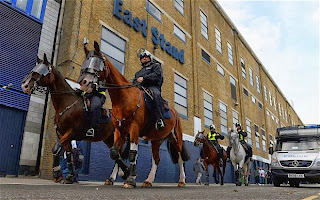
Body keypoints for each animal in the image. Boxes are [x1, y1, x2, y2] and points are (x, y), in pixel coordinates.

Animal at [20, 53, 129, 184]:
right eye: (33, 70)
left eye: (39, 73)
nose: (24, 86)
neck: (66, 103)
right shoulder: (62, 134)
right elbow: (69, 155)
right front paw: (69, 177)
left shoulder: (71, 132)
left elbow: (56, 149)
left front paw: (57, 174)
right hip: (108, 139)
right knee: (116, 154)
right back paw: (113, 178)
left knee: (118, 154)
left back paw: (125, 173)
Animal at [80, 42, 190, 188]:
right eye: (86, 61)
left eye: (98, 62)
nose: (84, 83)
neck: (124, 99)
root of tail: (175, 113)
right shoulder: (120, 131)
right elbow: (115, 153)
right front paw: (117, 175)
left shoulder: (134, 129)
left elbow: (132, 154)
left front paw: (130, 178)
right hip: (157, 140)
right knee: (156, 159)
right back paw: (148, 180)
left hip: (176, 138)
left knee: (180, 158)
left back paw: (182, 180)